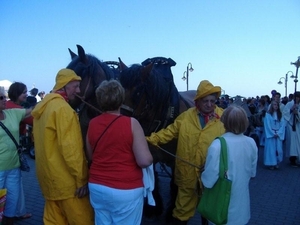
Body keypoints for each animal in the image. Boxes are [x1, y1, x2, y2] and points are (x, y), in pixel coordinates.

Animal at [118, 57, 196, 221]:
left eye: (138, 91)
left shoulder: (177, 160)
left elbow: (175, 183)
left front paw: (173, 215)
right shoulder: (150, 155)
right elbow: (153, 178)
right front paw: (154, 207)